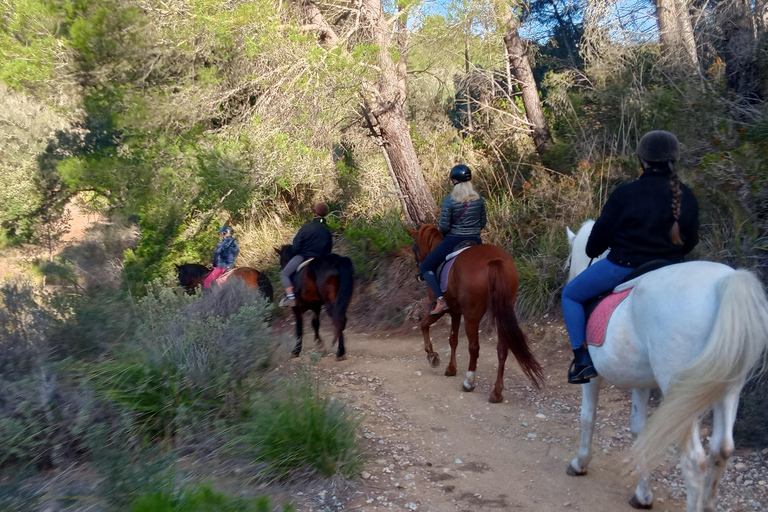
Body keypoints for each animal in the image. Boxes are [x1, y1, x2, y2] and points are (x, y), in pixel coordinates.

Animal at [408, 226, 544, 402]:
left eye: (414, 248)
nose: (418, 273)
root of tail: (493, 260)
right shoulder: (455, 312)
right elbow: (453, 340)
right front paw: (451, 368)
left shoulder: (440, 311)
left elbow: (424, 325)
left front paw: (433, 356)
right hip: (502, 313)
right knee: (502, 349)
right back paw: (497, 393)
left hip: (472, 316)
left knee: (474, 347)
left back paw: (469, 383)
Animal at [564, 220, 768, 512]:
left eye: (570, 260)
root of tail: (723, 283)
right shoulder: (640, 382)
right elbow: (639, 431)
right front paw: (642, 495)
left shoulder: (592, 377)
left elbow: (587, 416)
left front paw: (580, 463)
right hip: (727, 386)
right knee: (722, 449)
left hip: (683, 392)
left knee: (695, 460)